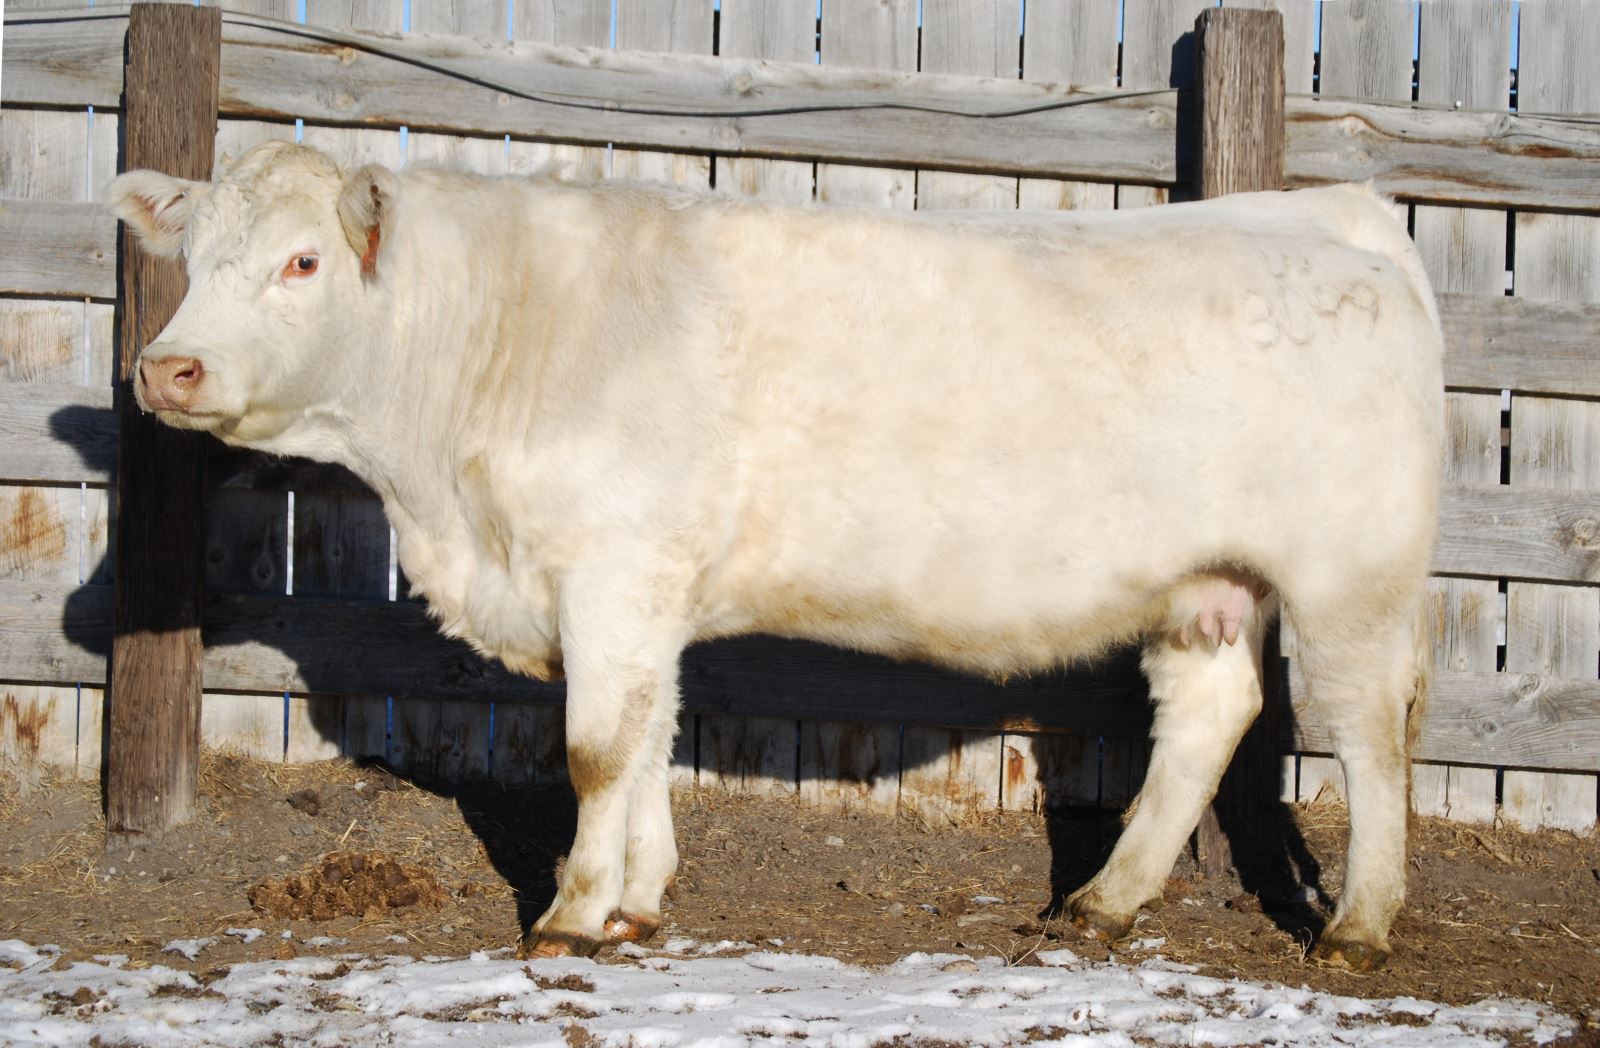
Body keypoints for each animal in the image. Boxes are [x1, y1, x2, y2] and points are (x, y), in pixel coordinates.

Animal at [110, 141, 1442, 972]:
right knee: (1207, 711)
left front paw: (572, 912)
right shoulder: (644, 592)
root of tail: (1338, 218)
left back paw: (1358, 924)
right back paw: (1102, 902)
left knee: (1368, 732)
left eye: (303, 261)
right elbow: (645, 737)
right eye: (193, 258)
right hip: (1200, 583)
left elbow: (594, 750)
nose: (167, 368)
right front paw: (639, 901)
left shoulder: (611, 568)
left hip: (1350, 579)